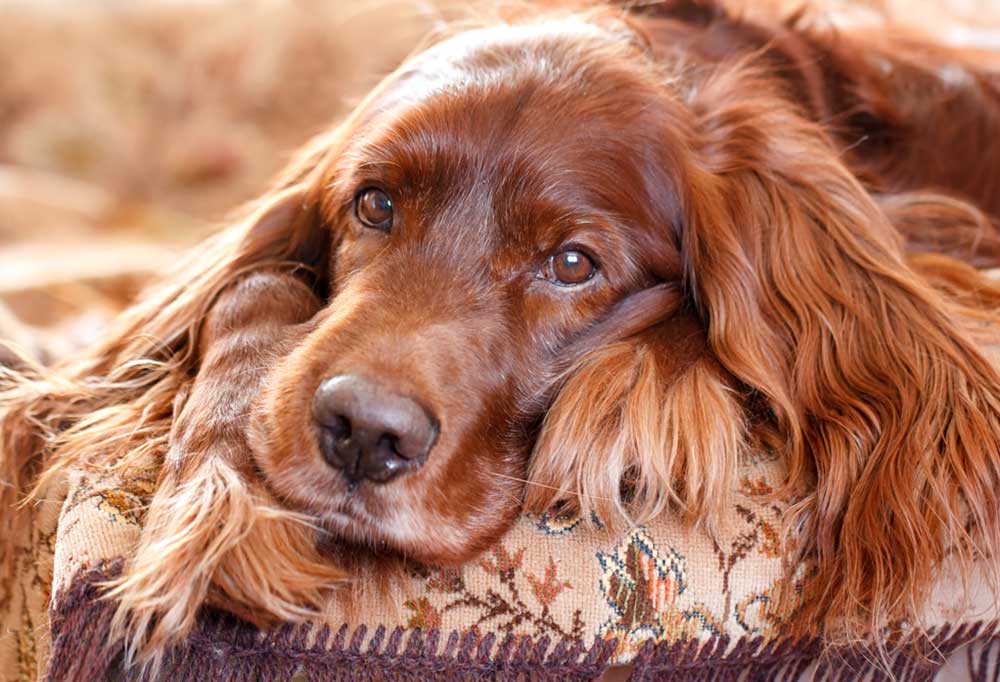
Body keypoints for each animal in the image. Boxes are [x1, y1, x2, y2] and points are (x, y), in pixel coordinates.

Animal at [1, 0, 1000, 668]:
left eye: (572, 264)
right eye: (374, 204)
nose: (363, 433)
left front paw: (637, 396)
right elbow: (246, 287)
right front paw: (220, 507)